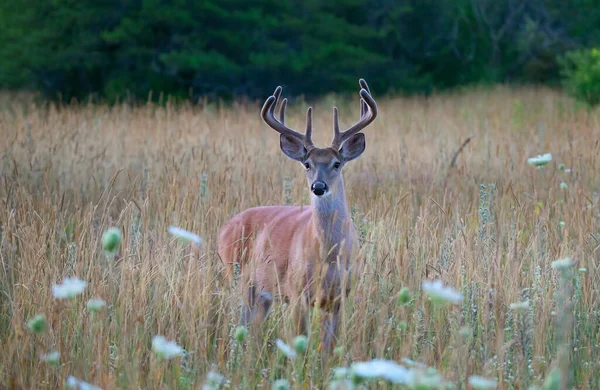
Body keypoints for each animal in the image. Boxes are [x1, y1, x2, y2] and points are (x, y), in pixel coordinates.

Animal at [216, 77, 378, 352]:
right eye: (307, 164)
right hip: (240, 279)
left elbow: (328, 350)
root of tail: (224, 229)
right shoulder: (296, 293)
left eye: (337, 164)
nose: (318, 187)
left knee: (252, 333)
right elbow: (299, 347)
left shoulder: (338, 299)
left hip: (263, 295)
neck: (329, 257)